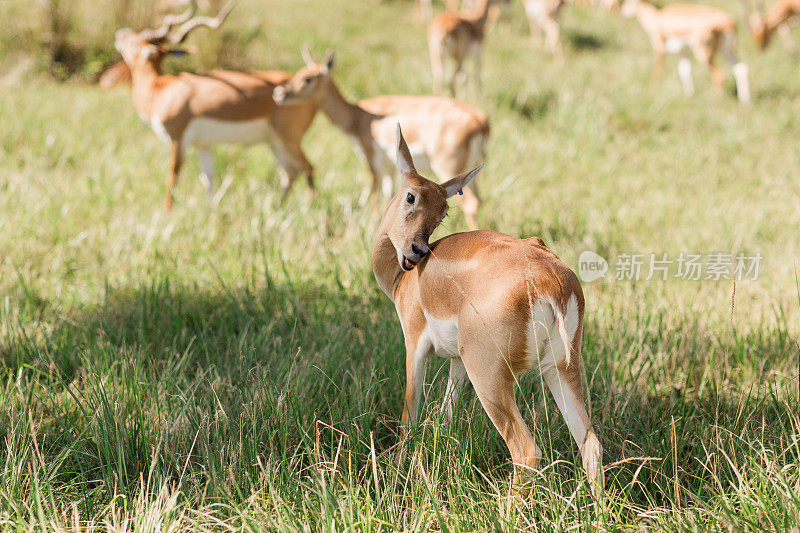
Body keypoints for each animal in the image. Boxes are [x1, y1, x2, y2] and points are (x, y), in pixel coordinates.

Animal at [113, 1, 318, 210]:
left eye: (136, 42)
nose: (121, 33)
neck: (160, 90)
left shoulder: (177, 141)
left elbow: (173, 177)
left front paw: (167, 210)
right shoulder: (203, 145)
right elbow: (208, 178)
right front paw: (213, 208)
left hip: (288, 139)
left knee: (307, 168)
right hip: (273, 141)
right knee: (290, 172)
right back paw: (278, 207)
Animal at [274, 50, 488, 231]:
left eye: (308, 78)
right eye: (297, 73)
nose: (279, 93)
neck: (359, 117)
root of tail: (480, 120)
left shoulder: (372, 160)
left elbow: (375, 192)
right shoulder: (390, 168)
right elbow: (389, 195)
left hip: (448, 169)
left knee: (471, 204)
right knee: (479, 199)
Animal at [372, 124, 604, 498]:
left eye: (442, 211)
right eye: (412, 197)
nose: (417, 251)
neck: (402, 281)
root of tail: (551, 280)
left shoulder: (414, 344)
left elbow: (410, 414)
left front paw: (396, 473)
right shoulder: (456, 361)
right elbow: (446, 414)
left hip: (490, 376)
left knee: (527, 451)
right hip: (562, 367)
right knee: (590, 442)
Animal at [624, 0, 752, 104]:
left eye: (628, 3)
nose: (623, 13)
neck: (655, 18)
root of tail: (728, 23)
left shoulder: (659, 46)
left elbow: (657, 70)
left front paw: (652, 90)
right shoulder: (684, 52)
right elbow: (685, 72)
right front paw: (689, 96)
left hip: (703, 53)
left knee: (719, 74)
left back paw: (715, 100)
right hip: (727, 50)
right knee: (740, 68)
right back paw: (745, 102)